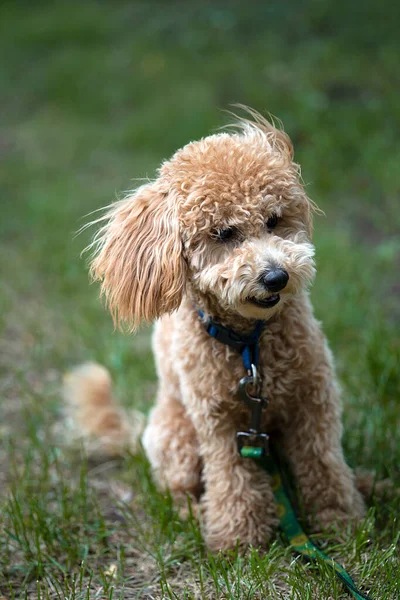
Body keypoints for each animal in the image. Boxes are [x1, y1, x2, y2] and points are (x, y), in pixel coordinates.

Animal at [65, 110, 366, 552]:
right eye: (224, 234)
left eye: (274, 221)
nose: (276, 277)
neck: (250, 346)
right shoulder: (219, 423)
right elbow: (232, 480)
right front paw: (238, 540)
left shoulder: (314, 403)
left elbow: (324, 465)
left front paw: (341, 521)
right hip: (176, 436)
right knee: (175, 489)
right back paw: (194, 515)